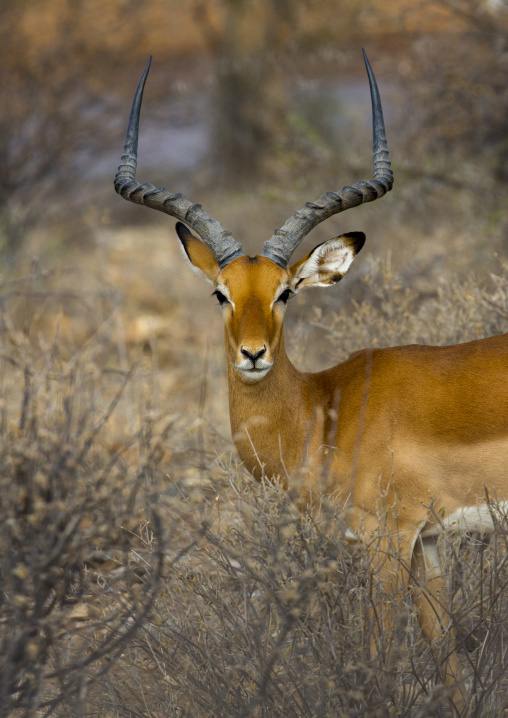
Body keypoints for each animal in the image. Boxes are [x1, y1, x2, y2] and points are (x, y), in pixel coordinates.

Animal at [115, 53, 508, 708]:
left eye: (285, 292)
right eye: (221, 293)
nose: (253, 354)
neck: (327, 409)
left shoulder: (383, 541)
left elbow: (378, 662)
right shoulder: (427, 542)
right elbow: (447, 655)